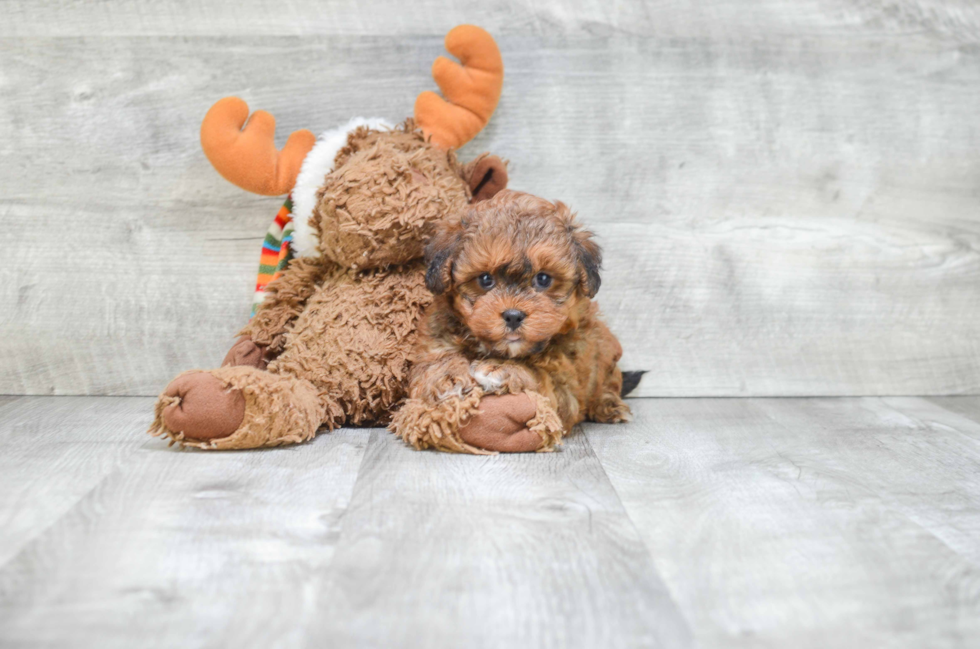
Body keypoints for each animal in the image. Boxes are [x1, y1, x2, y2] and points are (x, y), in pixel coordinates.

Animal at [392, 187, 632, 454]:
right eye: (485, 279)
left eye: (543, 279)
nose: (513, 316)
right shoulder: (434, 339)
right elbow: (434, 362)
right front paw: (447, 376)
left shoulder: (566, 384)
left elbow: (541, 377)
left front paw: (503, 369)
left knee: (609, 383)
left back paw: (608, 405)